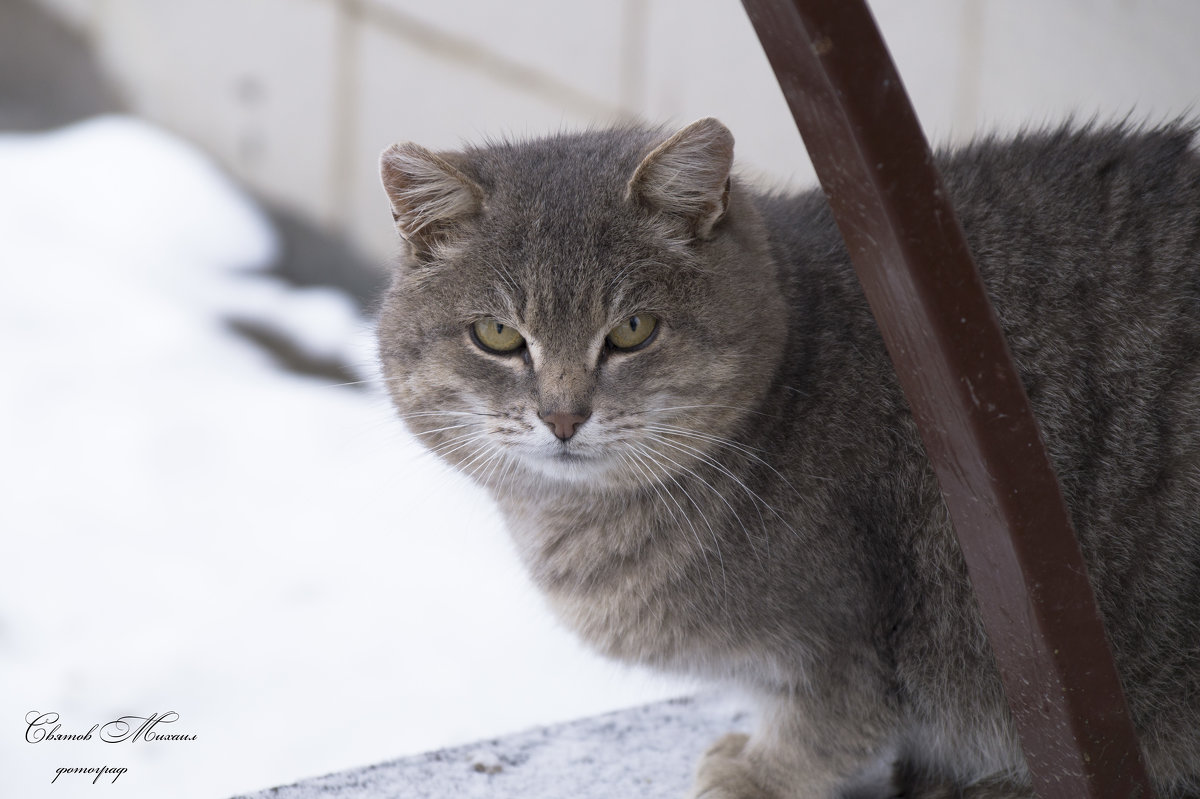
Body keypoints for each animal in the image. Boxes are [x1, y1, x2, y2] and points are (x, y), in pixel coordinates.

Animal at [374, 115, 1200, 791]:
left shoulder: (841, 637)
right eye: (499, 336)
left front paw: (753, 771)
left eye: (634, 329)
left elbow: (827, 727)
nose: (564, 416)